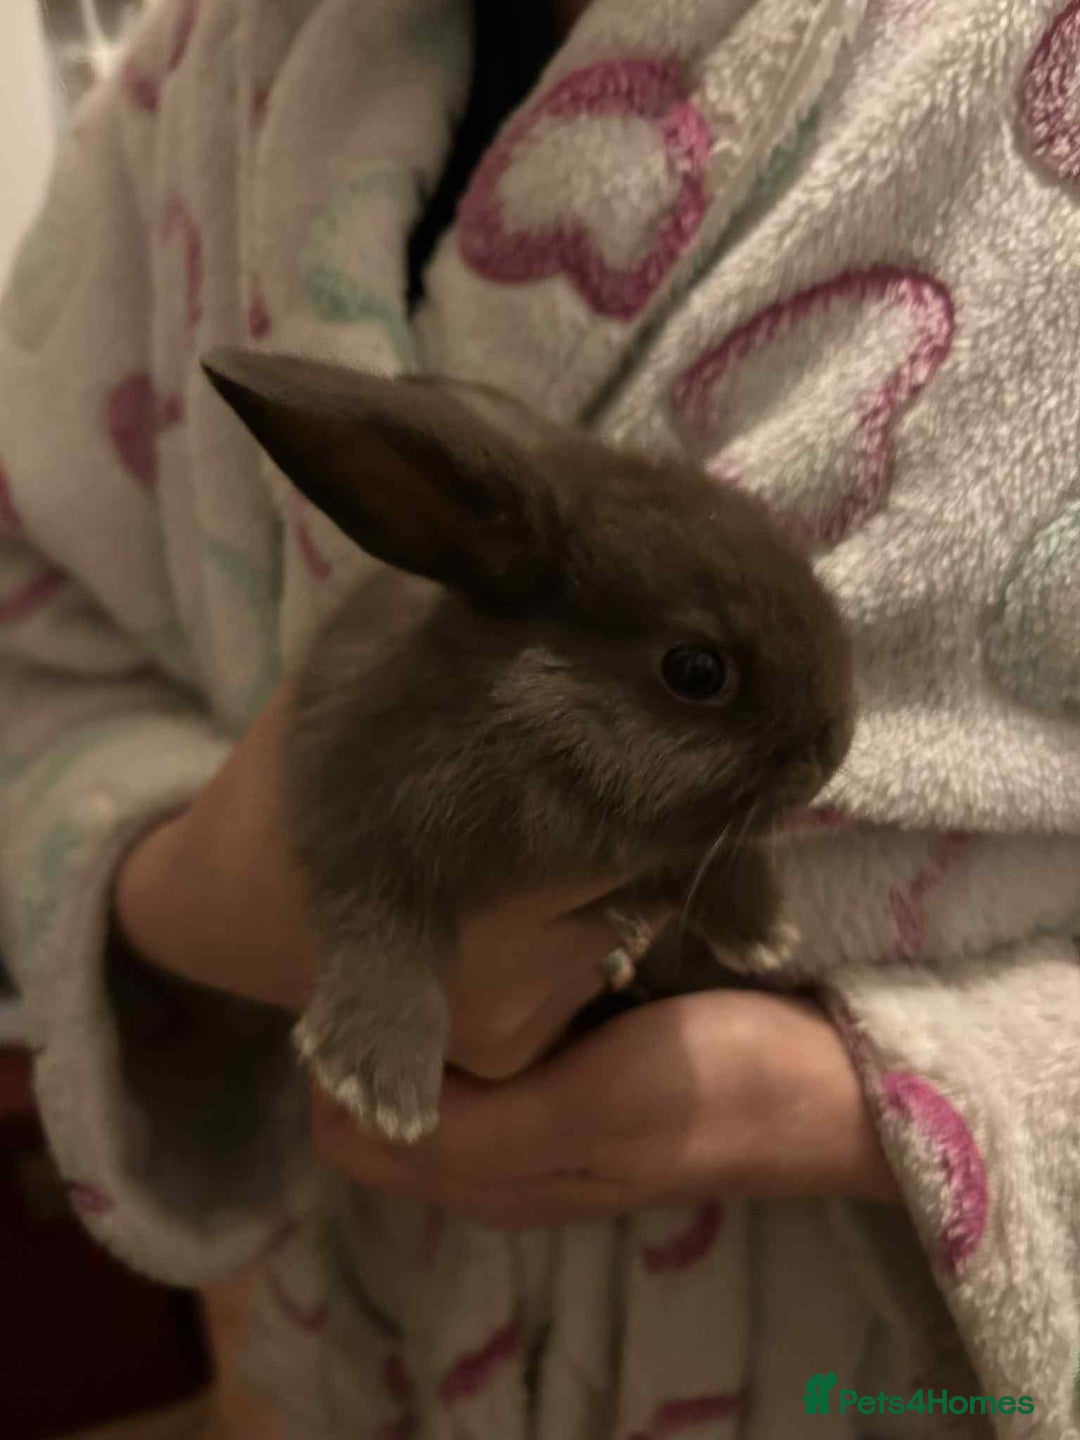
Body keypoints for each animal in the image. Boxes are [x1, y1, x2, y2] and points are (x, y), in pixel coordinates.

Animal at [201, 349, 855, 1144]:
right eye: (697, 671)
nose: (834, 745)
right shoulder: (357, 819)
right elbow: (385, 932)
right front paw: (381, 1087)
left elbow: (712, 854)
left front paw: (763, 932)